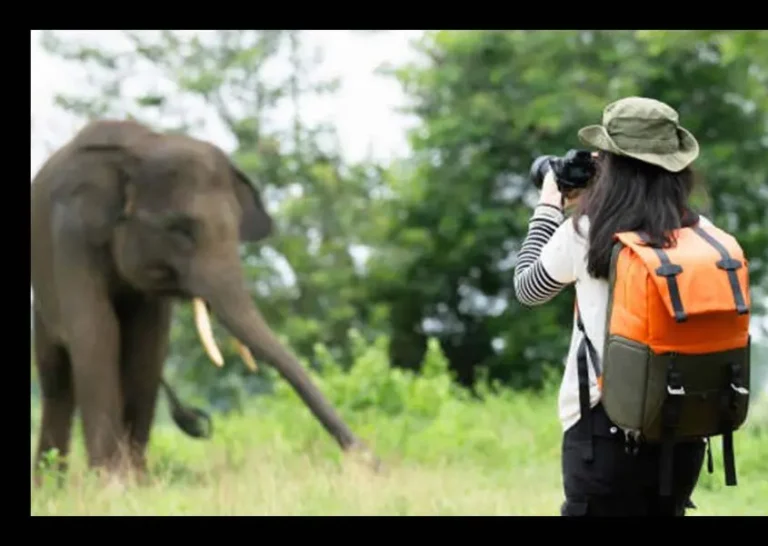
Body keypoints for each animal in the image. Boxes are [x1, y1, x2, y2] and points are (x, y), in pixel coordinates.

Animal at [30, 117, 378, 478]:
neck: (143, 148)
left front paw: (137, 483)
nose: (371, 461)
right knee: (55, 379)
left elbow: (147, 347)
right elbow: (97, 334)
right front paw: (114, 484)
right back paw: (49, 484)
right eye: (180, 230)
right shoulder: (70, 238)